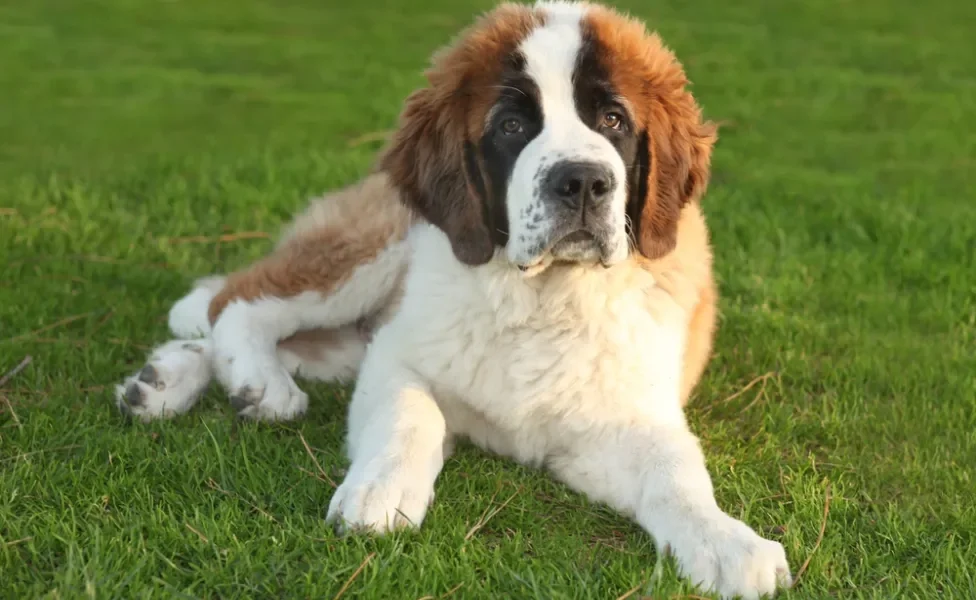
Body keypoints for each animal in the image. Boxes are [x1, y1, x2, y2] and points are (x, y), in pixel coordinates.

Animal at [118, 2, 796, 596]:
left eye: (613, 121)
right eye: (512, 127)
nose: (581, 181)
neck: (542, 295)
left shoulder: (619, 422)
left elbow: (675, 471)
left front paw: (725, 542)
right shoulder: (397, 354)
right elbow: (415, 413)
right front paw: (381, 491)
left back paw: (166, 378)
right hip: (375, 249)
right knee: (239, 300)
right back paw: (256, 383)